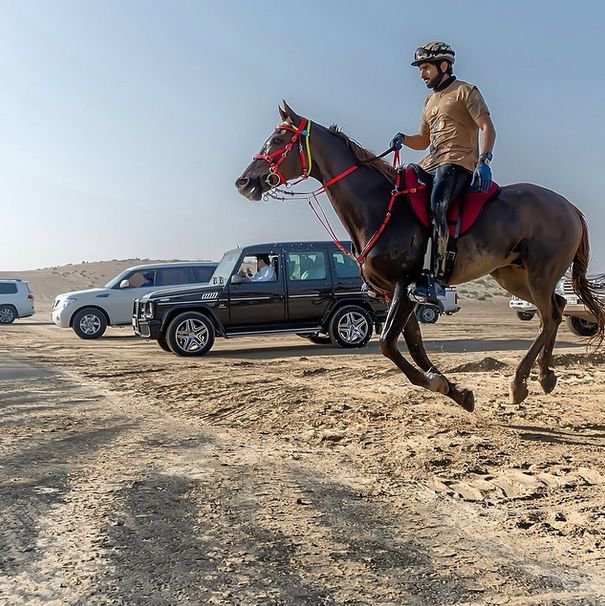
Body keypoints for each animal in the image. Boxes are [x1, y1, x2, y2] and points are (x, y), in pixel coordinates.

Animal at [232, 103, 604, 414]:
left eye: (278, 139)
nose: (244, 181)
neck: (380, 205)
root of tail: (570, 207)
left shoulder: (407, 284)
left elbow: (388, 345)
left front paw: (441, 383)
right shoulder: (397, 293)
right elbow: (412, 347)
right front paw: (455, 391)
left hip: (540, 273)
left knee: (550, 314)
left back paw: (523, 382)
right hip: (511, 274)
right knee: (556, 307)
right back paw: (542, 376)